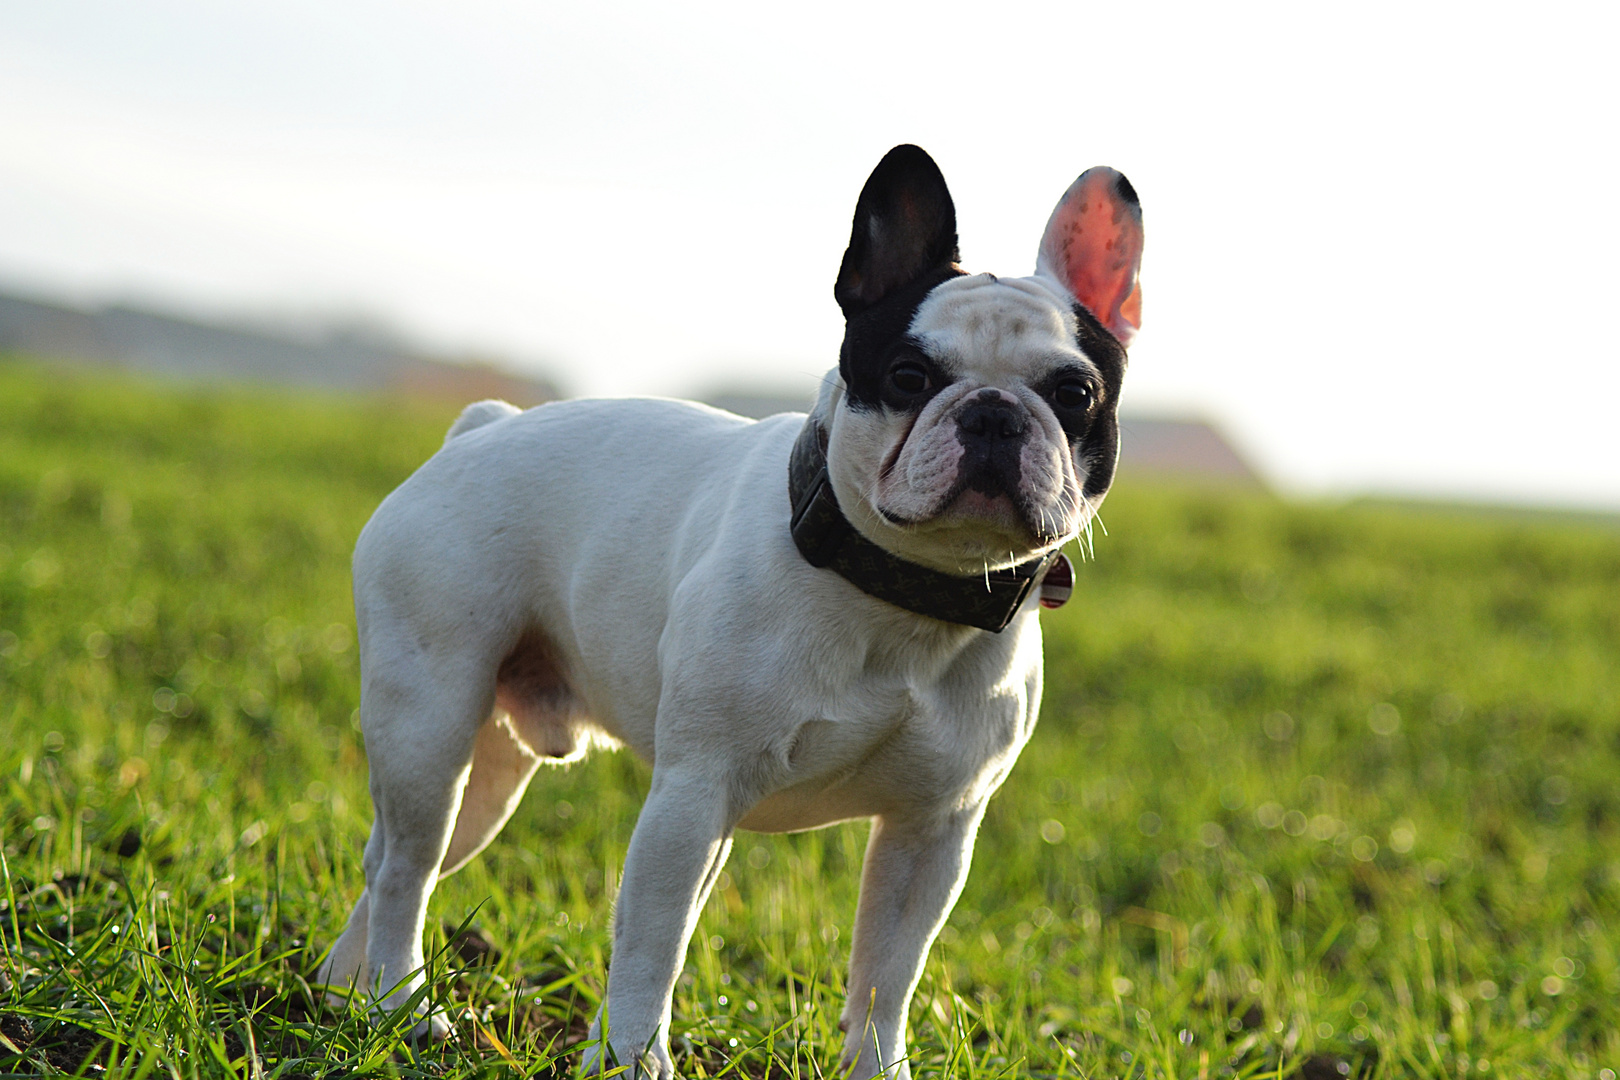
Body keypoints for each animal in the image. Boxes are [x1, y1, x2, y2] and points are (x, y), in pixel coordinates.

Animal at [315, 145, 1146, 1080]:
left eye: (1075, 393)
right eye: (908, 377)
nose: (997, 414)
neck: (903, 594)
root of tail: (478, 429)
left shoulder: (933, 832)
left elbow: (888, 974)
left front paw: (877, 1067)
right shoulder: (693, 794)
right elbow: (653, 945)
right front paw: (631, 1060)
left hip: (485, 778)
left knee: (396, 857)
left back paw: (351, 996)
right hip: (431, 720)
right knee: (406, 868)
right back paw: (400, 1003)